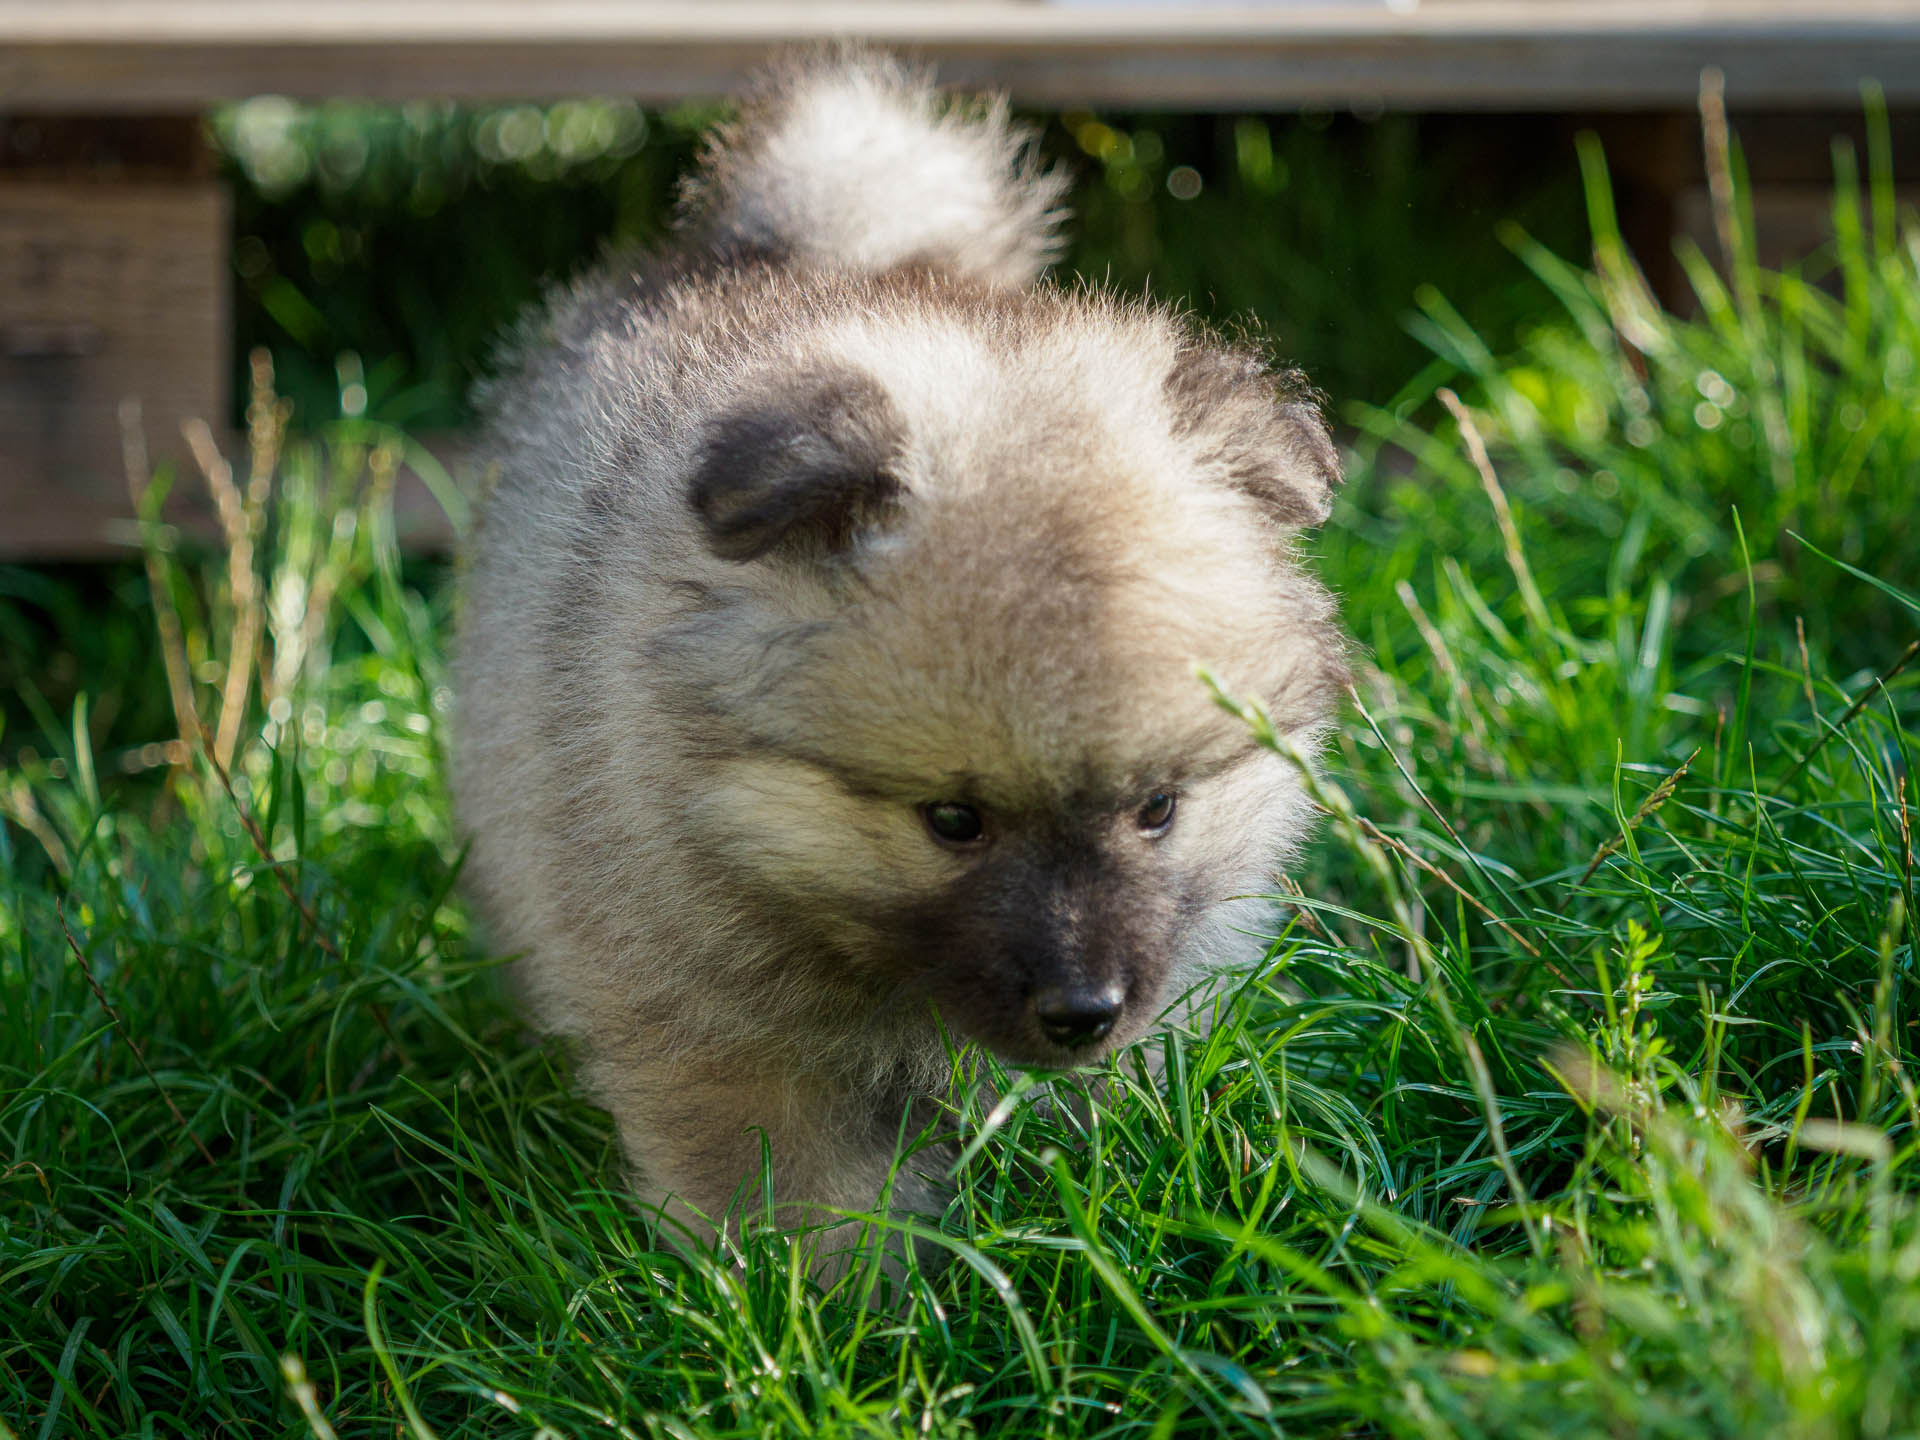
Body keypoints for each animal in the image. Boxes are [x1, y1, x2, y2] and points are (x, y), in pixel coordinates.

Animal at [453, 50, 1351, 1259]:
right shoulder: (728, 1040)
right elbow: (803, 1208)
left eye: (1158, 807)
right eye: (953, 820)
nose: (1083, 1013)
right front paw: (825, 1301)